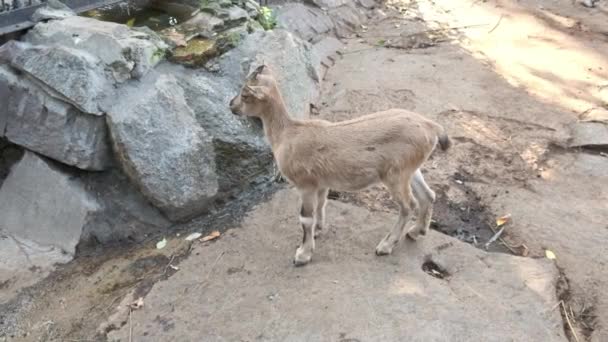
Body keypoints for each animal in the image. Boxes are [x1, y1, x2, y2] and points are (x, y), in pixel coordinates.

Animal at [229, 65, 452, 268]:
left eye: (245, 94)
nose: (231, 105)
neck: (287, 134)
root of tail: (431, 127)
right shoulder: (321, 182)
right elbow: (321, 204)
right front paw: (319, 230)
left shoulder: (305, 183)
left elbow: (305, 218)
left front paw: (302, 255)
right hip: (410, 170)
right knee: (428, 195)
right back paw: (416, 232)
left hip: (395, 175)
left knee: (408, 205)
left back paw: (385, 246)